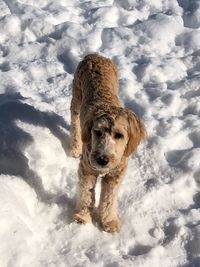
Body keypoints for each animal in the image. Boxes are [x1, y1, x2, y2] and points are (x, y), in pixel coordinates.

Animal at [69, 53, 146, 233]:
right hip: (76, 96)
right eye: (97, 132)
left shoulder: (116, 173)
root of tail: (94, 54)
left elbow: (110, 198)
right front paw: (82, 217)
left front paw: (109, 222)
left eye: (119, 135)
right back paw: (75, 147)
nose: (102, 160)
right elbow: (86, 193)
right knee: (75, 122)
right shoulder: (87, 167)